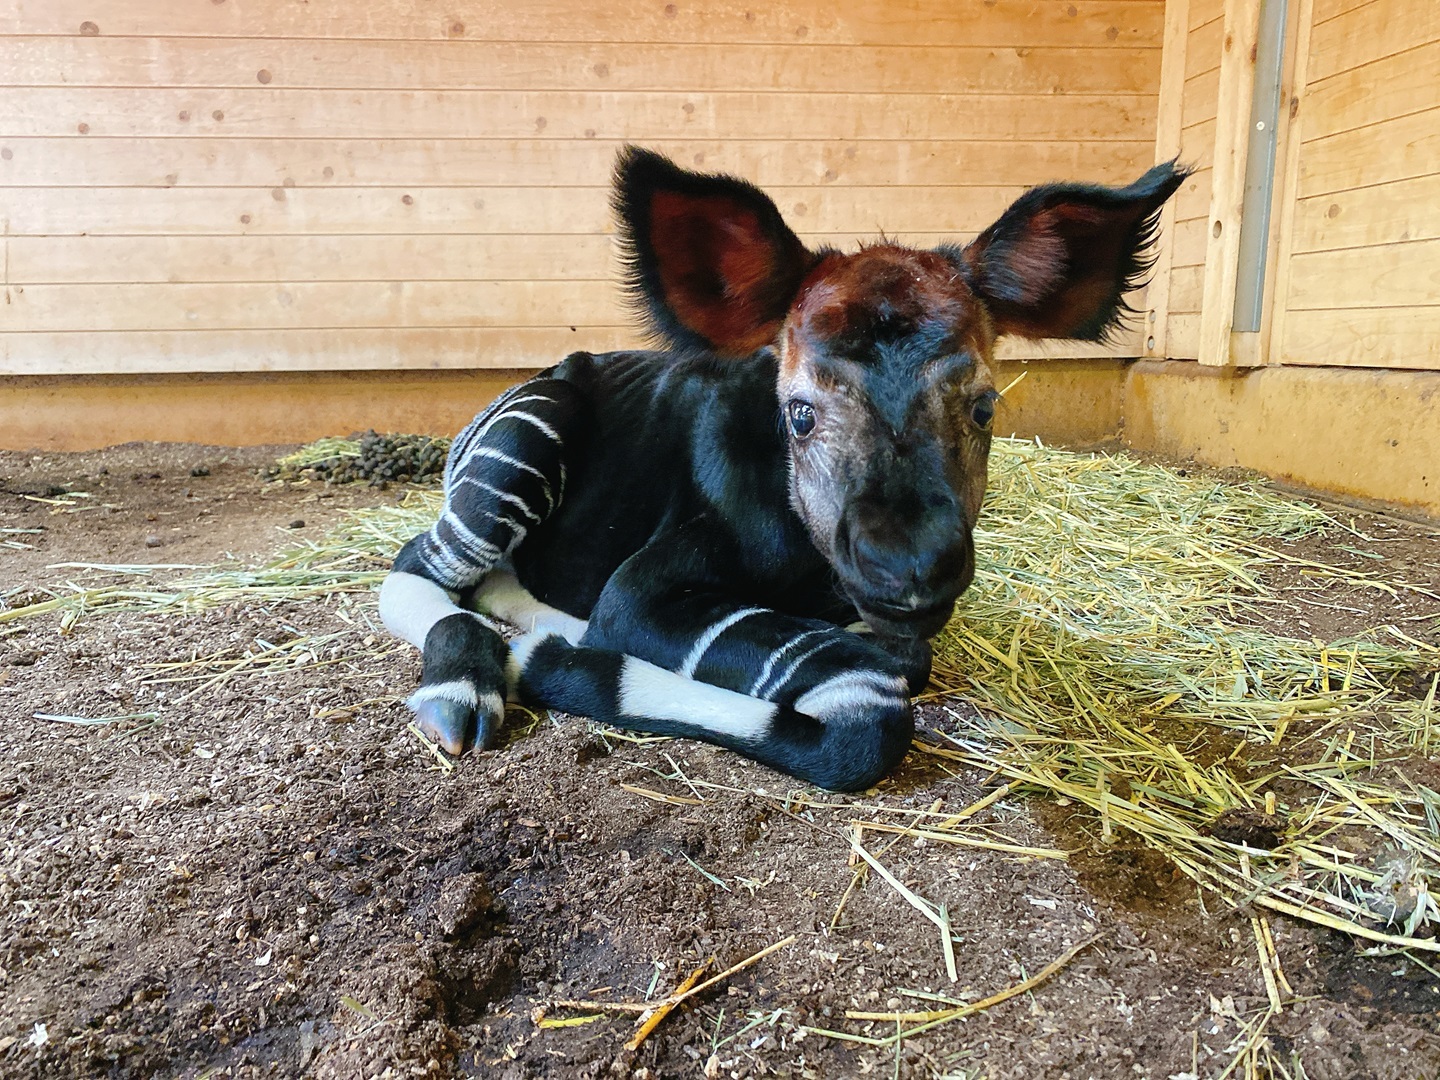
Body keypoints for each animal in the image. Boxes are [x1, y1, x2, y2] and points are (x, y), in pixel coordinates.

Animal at [377, 148, 1186, 789]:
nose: (910, 568)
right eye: (800, 412)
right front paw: (549, 662)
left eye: (985, 406)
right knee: (422, 559)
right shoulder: (639, 592)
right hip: (531, 435)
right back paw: (463, 692)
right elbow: (869, 705)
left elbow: (904, 656)